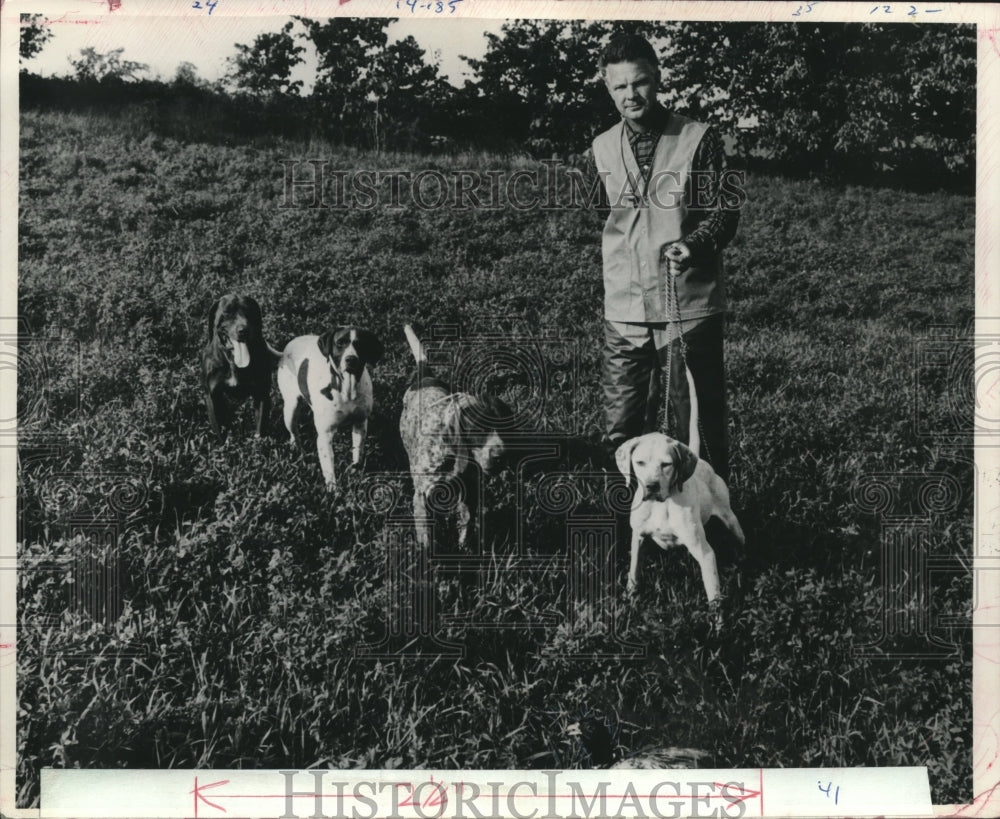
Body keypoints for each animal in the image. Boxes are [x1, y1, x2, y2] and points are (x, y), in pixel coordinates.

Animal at [202, 294, 282, 438]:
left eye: (249, 312)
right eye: (227, 312)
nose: (243, 330)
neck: (233, 360)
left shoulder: (262, 393)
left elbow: (260, 429)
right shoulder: (212, 396)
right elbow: (219, 432)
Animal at [276, 326, 384, 490]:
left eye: (360, 344)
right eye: (340, 343)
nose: (351, 359)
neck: (346, 390)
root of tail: (288, 346)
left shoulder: (360, 423)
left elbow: (357, 452)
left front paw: (355, 472)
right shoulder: (325, 435)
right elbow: (328, 466)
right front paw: (333, 490)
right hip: (291, 409)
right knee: (294, 433)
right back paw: (297, 450)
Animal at [396, 322, 512, 552]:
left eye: (506, 429)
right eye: (478, 429)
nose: (501, 456)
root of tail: (425, 376)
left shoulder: (470, 493)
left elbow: (466, 526)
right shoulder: (422, 497)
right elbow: (426, 537)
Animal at [612, 436, 748, 604]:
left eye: (666, 464)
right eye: (640, 462)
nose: (652, 486)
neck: (661, 504)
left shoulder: (705, 553)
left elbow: (713, 591)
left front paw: (717, 611)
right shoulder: (638, 538)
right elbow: (634, 572)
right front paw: (630, 598)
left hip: (730, 520)